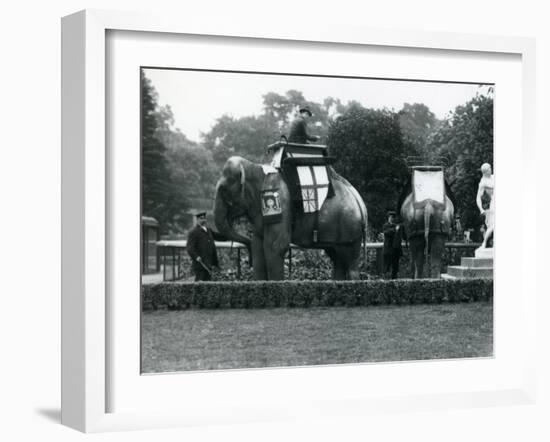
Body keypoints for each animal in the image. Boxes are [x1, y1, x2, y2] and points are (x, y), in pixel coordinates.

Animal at [213, 155, 368, 280]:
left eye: (223, 190)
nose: (248, 260)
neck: (254, 167)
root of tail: (360, 203)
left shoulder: (280, 201)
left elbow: (275, 247)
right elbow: (258, 246)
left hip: (349, 229)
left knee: (350, 263)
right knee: (338, 260)